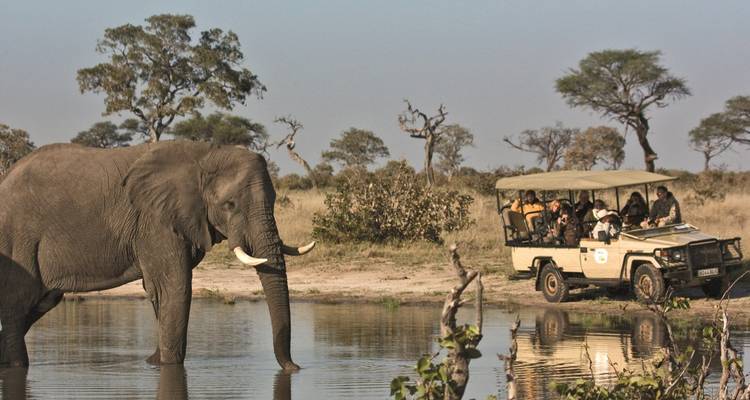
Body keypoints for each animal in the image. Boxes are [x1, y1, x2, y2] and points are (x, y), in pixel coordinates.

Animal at [0, 140, 313, 370]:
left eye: (275, 200)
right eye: (230, 204)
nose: (295, 368)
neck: (205, 154)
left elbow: (161, 292)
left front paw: (153, 362)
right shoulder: (154, 221)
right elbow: (174, 287)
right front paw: (168, 365)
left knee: (39, 303)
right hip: (16, 241)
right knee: (18, 304)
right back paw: (16, 366)